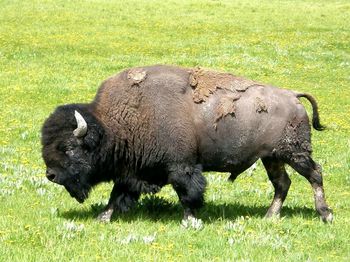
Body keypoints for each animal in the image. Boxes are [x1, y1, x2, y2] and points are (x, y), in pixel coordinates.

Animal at [41, 64, 334, 224]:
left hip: (294, 153)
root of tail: (292, 95)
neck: (115, 124)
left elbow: (187, 192)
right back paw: (269, 216)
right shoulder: (130, 172)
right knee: (282, 183)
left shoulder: (182, 166)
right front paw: (102, 217)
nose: (51, 175)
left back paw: (325, 214)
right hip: (271, 157)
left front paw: (190, 220)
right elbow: (117, 194)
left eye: (69, 148)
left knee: (315, 174)